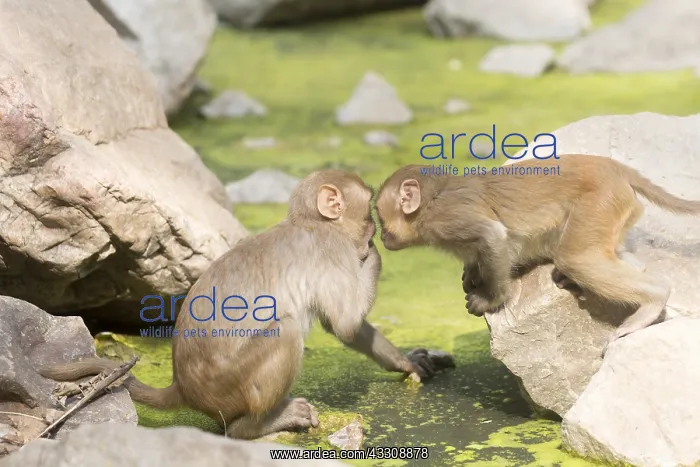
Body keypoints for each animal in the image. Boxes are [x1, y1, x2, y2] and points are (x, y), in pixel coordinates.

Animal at [38, 169, 455, 440]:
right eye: (368, 208)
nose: (374, 231)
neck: (315, 224)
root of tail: (183, 388)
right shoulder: (332, 251)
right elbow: (345, 324)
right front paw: (374, 254)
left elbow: (351, 331)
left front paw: (408, 361)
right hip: (229, 385)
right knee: (284, 330)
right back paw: (258, 425)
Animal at [374, 155, 700, 356]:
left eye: (378, 215)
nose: (382, 236)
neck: (430, 202)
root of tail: (614, 168)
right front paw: (471, 272)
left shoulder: (448, 217)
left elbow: (493, 235)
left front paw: (490, 299)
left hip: (599, 203)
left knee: (576, 257)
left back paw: (653, 301)